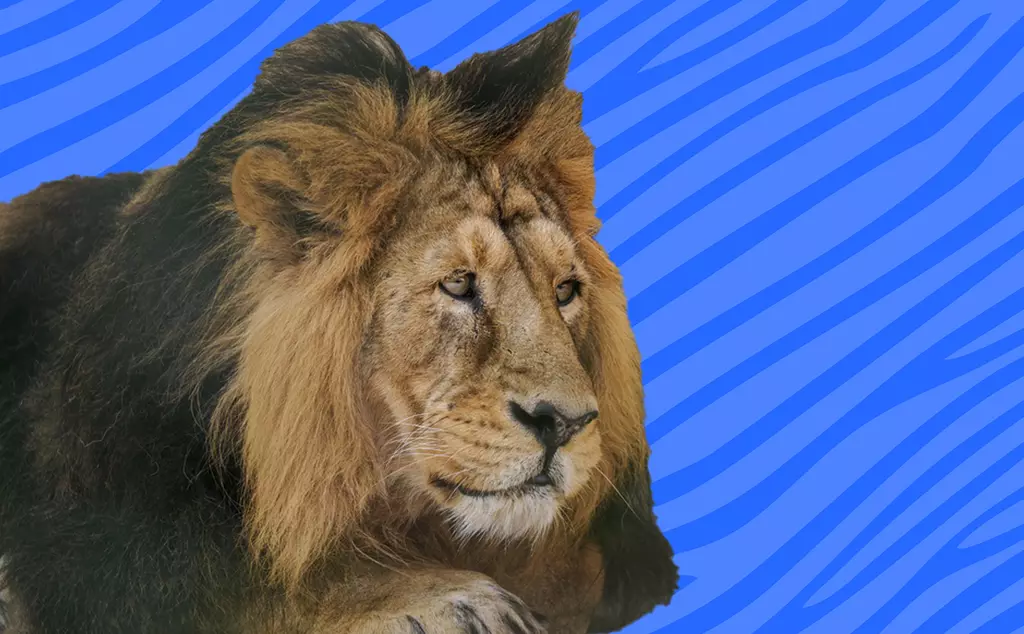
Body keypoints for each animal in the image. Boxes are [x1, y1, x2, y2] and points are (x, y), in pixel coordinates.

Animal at [0, 13, 677, 634]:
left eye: (565, 291)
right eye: (459, 283)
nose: (567, 423)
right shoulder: (98, 546)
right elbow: (272, 588)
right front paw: (450, 600)